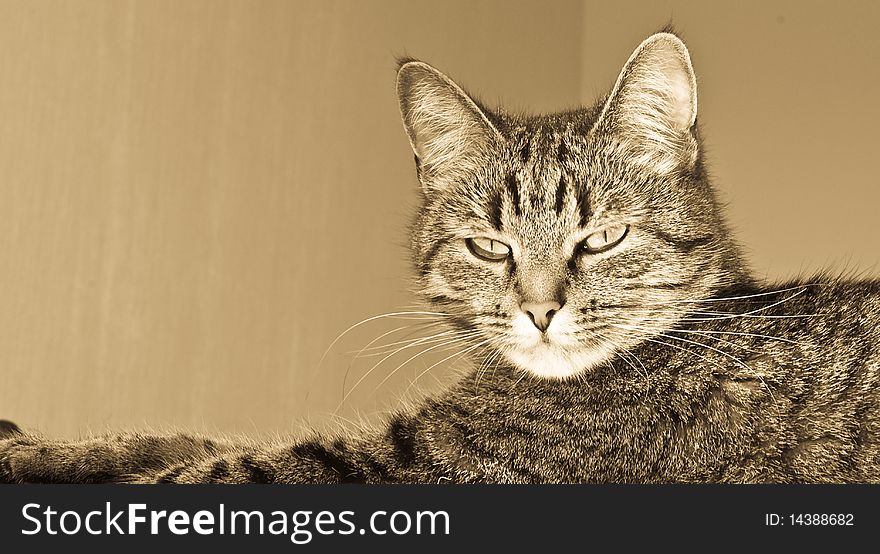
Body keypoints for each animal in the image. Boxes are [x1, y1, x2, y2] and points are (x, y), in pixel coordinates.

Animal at [0, 30, 876, 480]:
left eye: (602, 237)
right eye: (489, 246)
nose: (541, 310)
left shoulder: (403, 470)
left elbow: (193, 468)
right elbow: (173, 439)